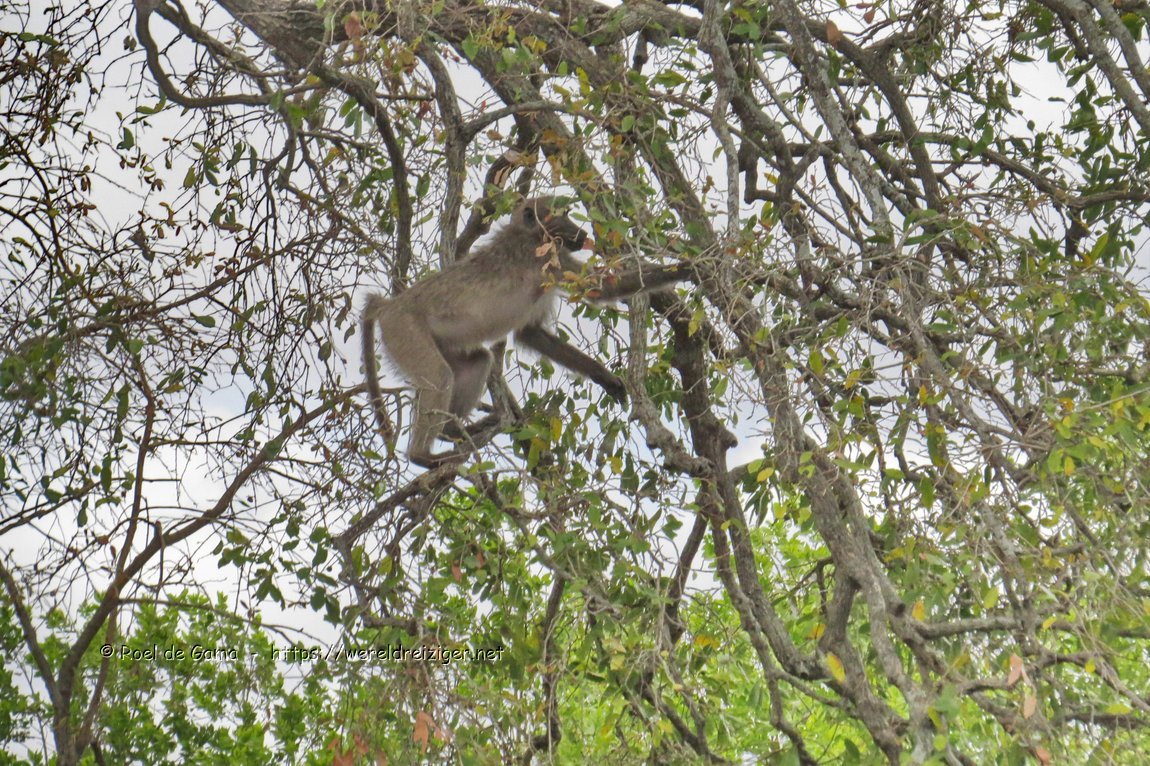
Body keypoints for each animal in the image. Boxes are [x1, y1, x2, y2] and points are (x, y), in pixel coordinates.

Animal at [362, 196, 687, 467]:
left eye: (568, 213)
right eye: (559, 215)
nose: (582, 234)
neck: (529, 236)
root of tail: (390, 305)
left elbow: (531, 334)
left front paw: (603, 376)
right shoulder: (545, 259)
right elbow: (600, 290)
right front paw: (685, 268)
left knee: (477, 362)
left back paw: (452, 431)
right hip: (404, 330)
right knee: (440, 375)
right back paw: (423, 456)